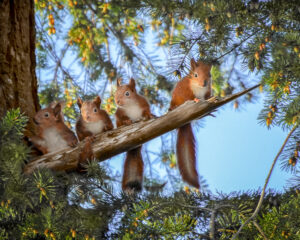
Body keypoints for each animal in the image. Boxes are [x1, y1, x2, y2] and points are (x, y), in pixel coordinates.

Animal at [170, 58, 212, 189]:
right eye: (195, 75)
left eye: (210, 75)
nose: (204, 83)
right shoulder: (186, 91)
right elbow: (189, 98)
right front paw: (196, 99)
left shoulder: (207, 92)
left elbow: (208, 97)